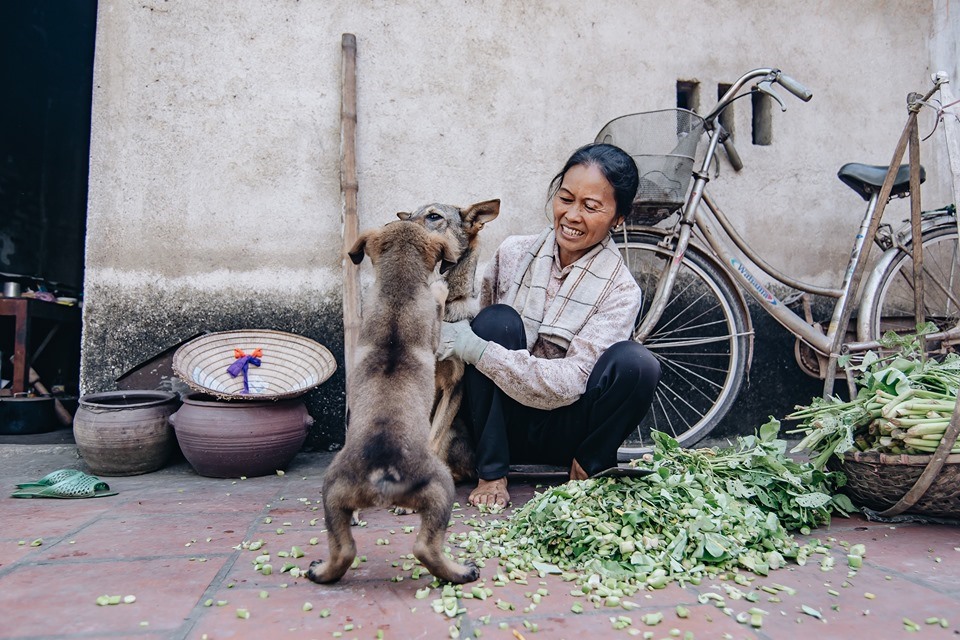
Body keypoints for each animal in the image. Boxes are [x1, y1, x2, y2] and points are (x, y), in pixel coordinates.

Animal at [308, 221, 480, 584]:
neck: (398, 290)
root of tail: (382, 471)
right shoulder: (433, 327)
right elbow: (438, 306)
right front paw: (439, 289)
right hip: (441, 489)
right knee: (426, 548)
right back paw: (461, 571)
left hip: (332, 492)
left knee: (344, 549)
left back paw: (322, 571)